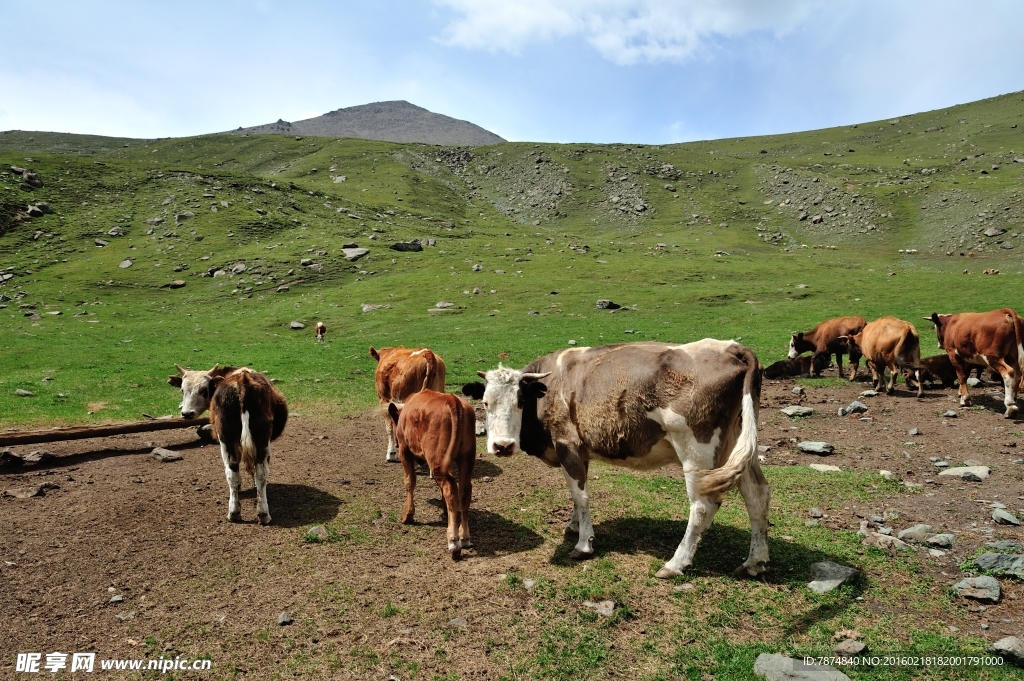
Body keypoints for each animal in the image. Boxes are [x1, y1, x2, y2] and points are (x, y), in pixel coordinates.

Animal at [167, 364, 286, 522]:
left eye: (204, 390)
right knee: (253, 471)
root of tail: (242, 382)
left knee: (238, 471)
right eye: (182, 390)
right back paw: (254, 513)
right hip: (255, 440)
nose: (187, 413)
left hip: (230, 439)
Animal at [385, 387, 477, 557]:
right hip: (465, 458)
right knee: (464, 490)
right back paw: (464, 537)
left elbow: (409, 481)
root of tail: (453, 400)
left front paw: (408, 515)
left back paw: (454, 541)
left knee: (450, 488)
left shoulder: (404, 450)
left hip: (437, 460)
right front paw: (446, 511)